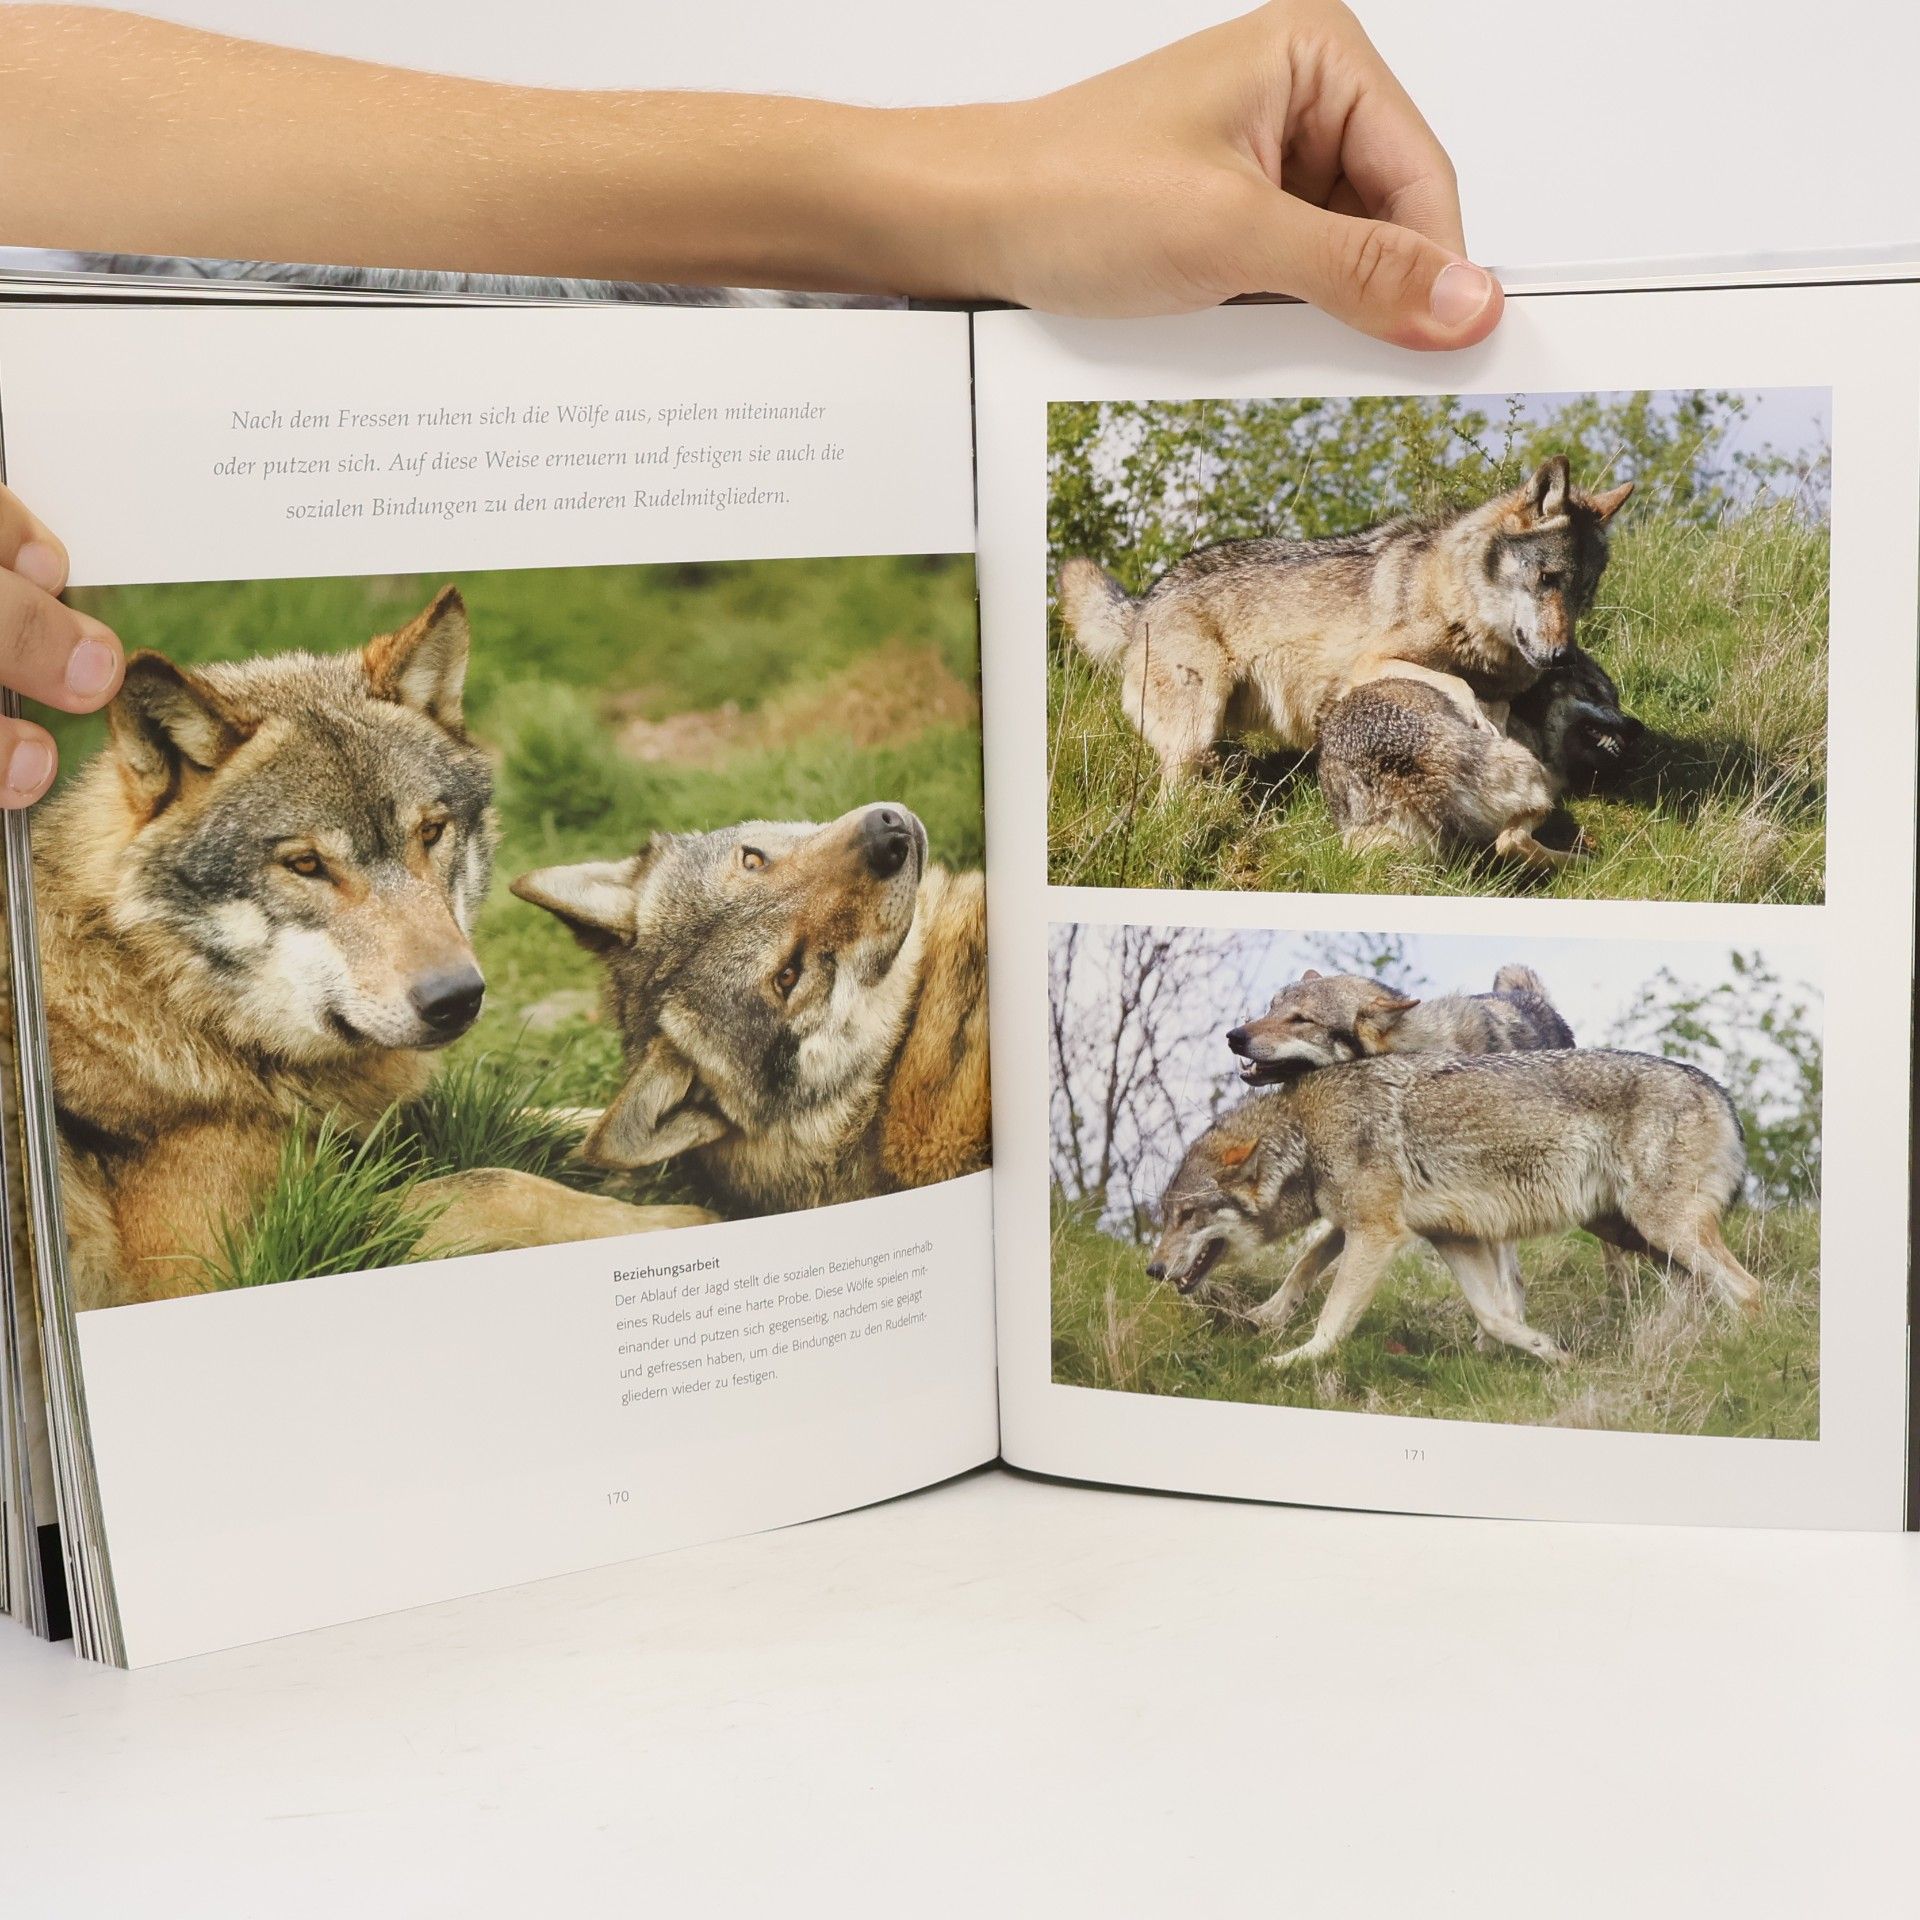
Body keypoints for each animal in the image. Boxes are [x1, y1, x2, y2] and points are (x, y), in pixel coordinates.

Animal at [36, 587, 704, 1312]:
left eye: (431, 832)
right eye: (306, 864)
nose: (457, 998)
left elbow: (569, 1123)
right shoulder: (221, 1265)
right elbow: (492, 1184)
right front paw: (675, 1218)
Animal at [1057, 456, 1634, 789]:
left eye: (1582, 594)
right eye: (1547, 579)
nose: (1560, 655)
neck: (1458, 603)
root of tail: (1146, 600)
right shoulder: (1368, 666)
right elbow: (1458, 688)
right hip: (1195, 727)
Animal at [1146, 1050, 1759, 1368]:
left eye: (1188, 1217)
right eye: (1166, 1216)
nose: (1152, 1269)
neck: (1305, 1134)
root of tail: (1719, 1090)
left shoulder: (1377, 1232)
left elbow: (1332, 1316)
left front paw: (1291, 1362)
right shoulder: (1450, 1237)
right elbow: (1496, 1315)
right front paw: (1550, 1354)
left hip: (1660, 1229)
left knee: (1750, 1291)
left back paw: (1741, 1351)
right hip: (1637, 1235)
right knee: (1705, 1290)